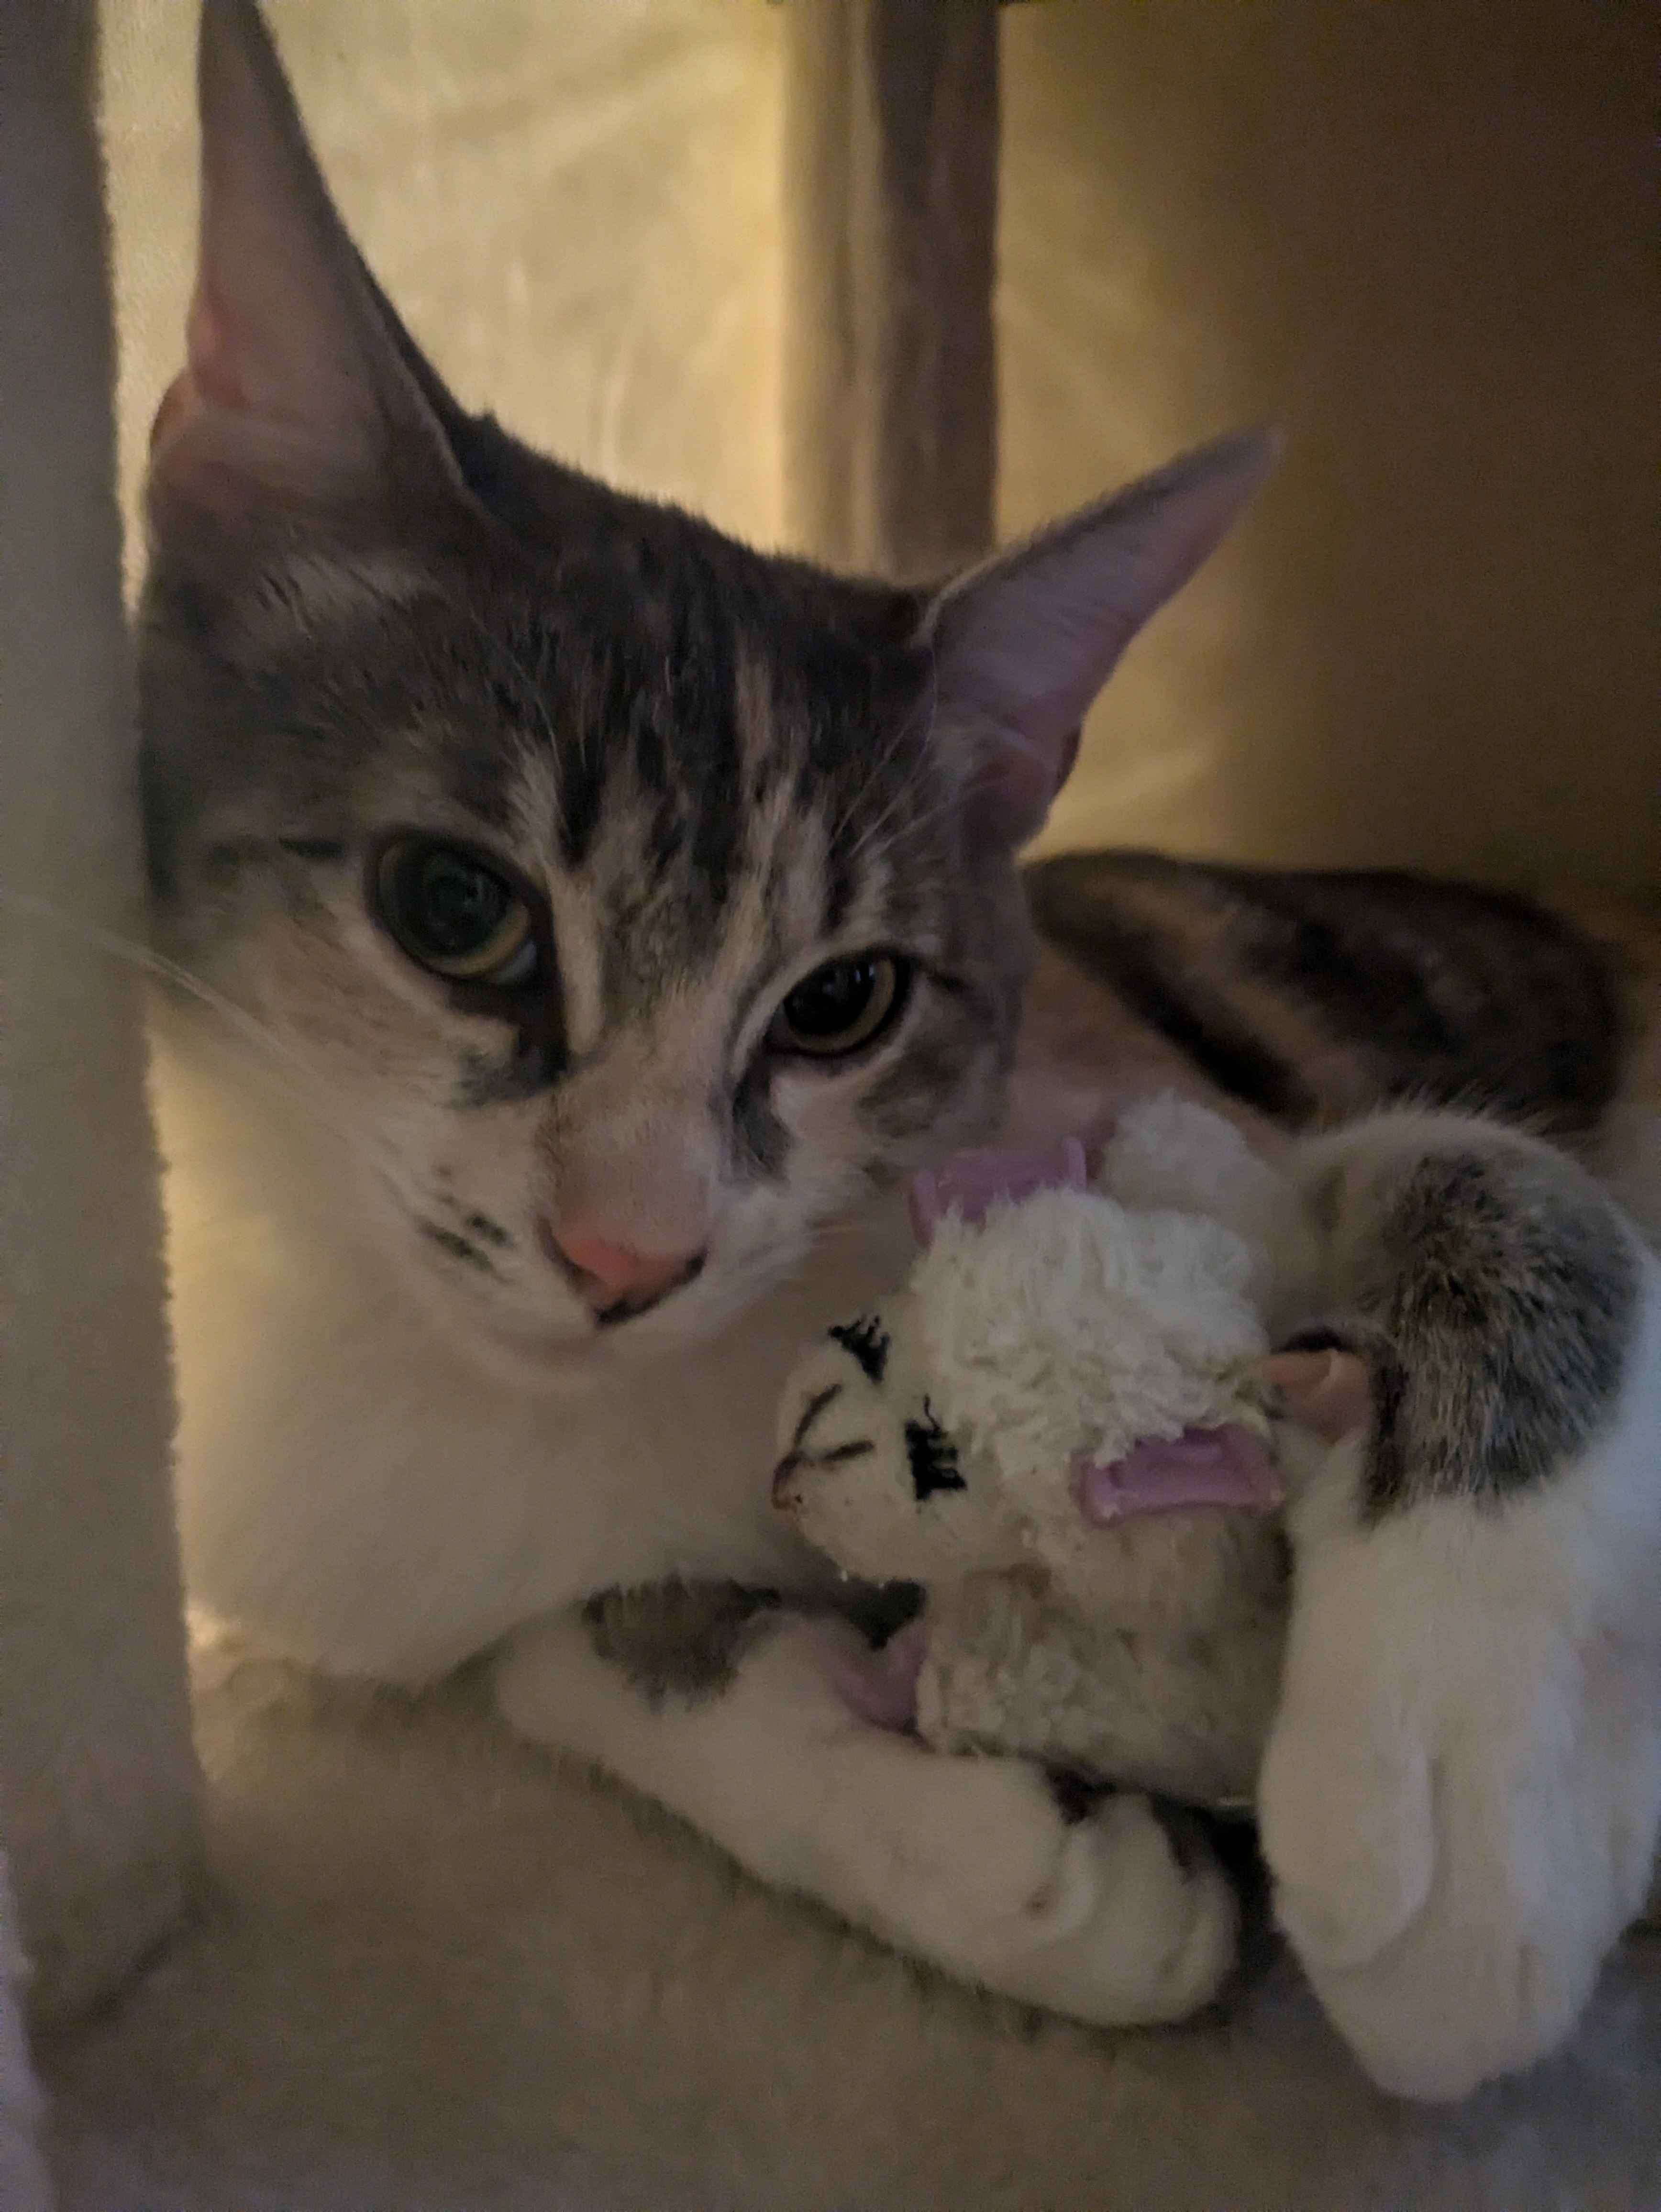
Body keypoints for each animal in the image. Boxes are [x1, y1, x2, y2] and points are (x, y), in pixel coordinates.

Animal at [146, 0, 1661, 2097]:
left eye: (839, 1001)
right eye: (454, 905)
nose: (631, 1255)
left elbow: (1485, 1176)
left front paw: (1456, 1798)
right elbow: (556, 1642)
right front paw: (978, 1839)